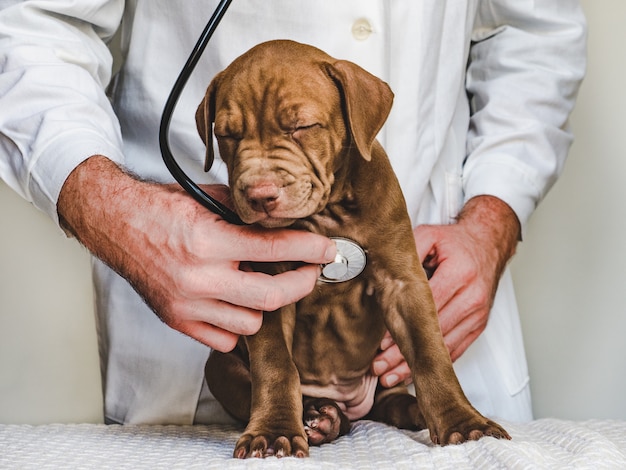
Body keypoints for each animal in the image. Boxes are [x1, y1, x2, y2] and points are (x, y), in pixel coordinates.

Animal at [195, 40, 508, 458]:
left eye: (302, 127)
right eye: (227, 134)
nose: (259, 195)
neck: (328, 215)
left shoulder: (404, 283)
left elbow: (430, 354)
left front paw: (462, 421)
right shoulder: (269, 287)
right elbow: (276, 365)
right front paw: (275, 430)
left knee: (388, 400)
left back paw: (408, 411)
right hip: (219, 365)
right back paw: (320, 417)